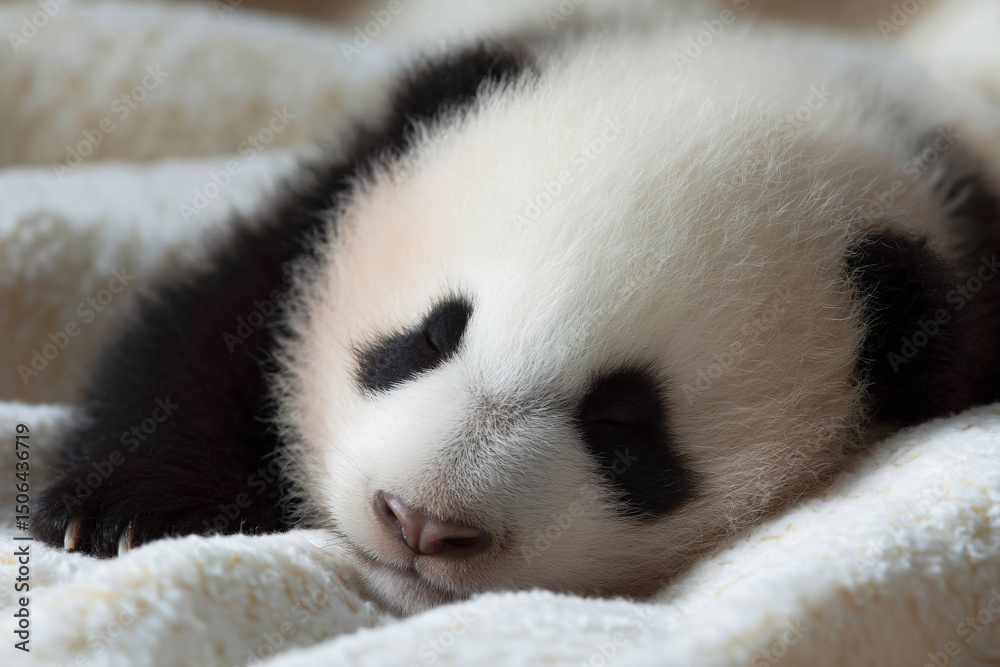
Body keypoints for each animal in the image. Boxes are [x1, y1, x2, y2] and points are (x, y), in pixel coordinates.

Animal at [33, 10, 1000, 617]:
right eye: (431, 334)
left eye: (623, 424)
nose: (420, 520)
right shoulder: (330, 202)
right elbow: (211, 325)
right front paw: (124, 509)